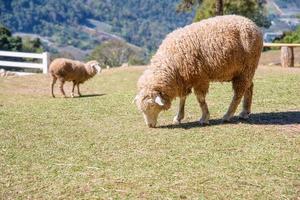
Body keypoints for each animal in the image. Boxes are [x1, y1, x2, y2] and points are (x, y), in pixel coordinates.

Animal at [134, 15, 262, 128]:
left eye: (152, 106)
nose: (150, 126)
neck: (171, 62)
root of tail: (252, 24)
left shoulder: (200, 78)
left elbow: (200, 99)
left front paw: (204, 118)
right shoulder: (184, 79)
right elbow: (182, 99)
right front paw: (178, 117)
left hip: (247, 67)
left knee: (238, 93)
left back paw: (227, 115)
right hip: (243, 71)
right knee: (249, 87)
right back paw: (245, 112)